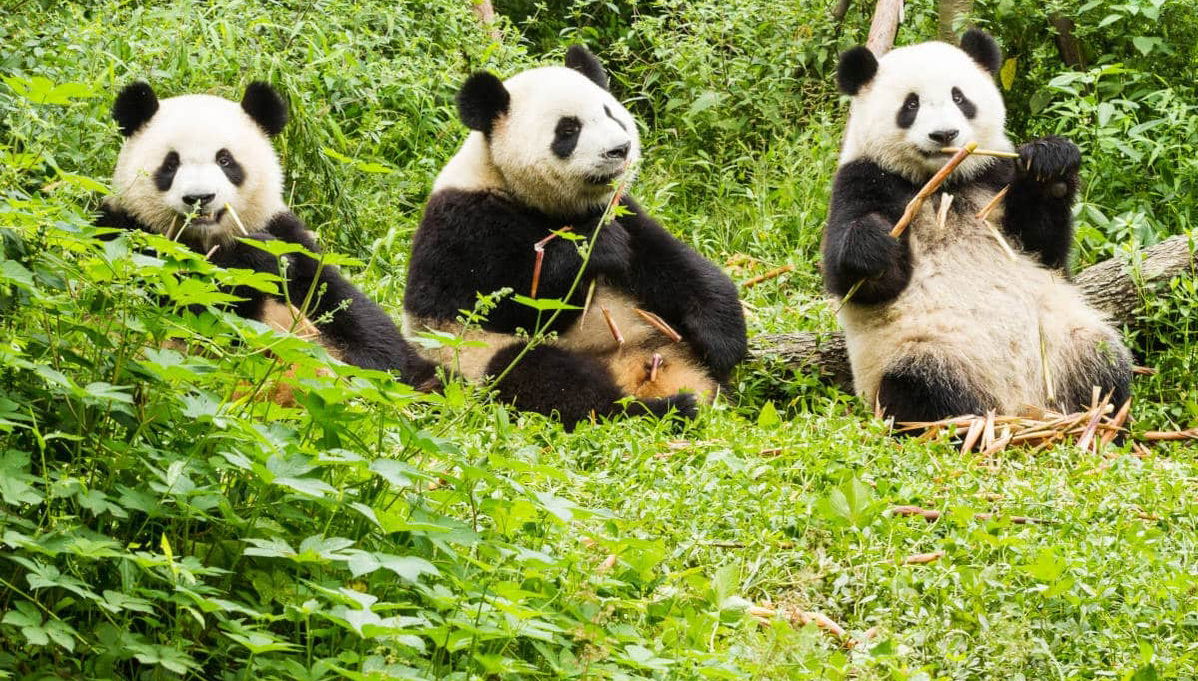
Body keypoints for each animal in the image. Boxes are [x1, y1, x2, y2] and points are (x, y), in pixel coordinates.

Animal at [97, 81, 438, 389]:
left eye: (225, 160)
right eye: (170, 164)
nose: (200, 197)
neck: (205, 240)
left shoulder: (287, 234)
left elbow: (349, 310)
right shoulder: (124, 230)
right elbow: (179, 299)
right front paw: (251, 261)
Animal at [403, 46, 747, 427]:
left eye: (610, 113)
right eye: (568, 129)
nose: (620, 149)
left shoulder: (619, 208)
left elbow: (672, 263)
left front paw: (722, 341)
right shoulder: (461, 225)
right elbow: (498, 301)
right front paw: (596, 248)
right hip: (475, 355)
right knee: (544, 379)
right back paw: (659, 409)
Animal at [823, 29, 1132, 423]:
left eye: (959, 97)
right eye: (911, 105)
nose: (944, 135)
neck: (944, 182)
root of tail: (1021, 406)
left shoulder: (993, 176)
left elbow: (1045, 249)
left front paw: (1051, 165)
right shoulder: (863, 179)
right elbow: (859, 282)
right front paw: (873, 246)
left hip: (1066, 343)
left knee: (1105, 367)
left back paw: (1101, 415)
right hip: (921, 352)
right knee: (922, 391)